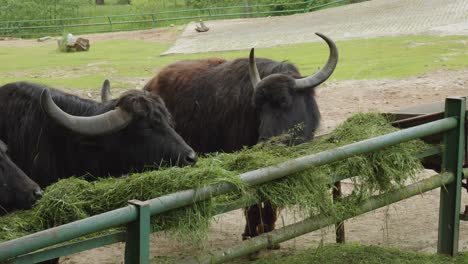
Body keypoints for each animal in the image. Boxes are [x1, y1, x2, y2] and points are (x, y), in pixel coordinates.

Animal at [104, 34, 338, 244]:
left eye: (284, 101)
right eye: (258, 107)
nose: (267, 144)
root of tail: (150, 84)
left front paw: (270, 233)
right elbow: (252, 202)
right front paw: (252, 235)